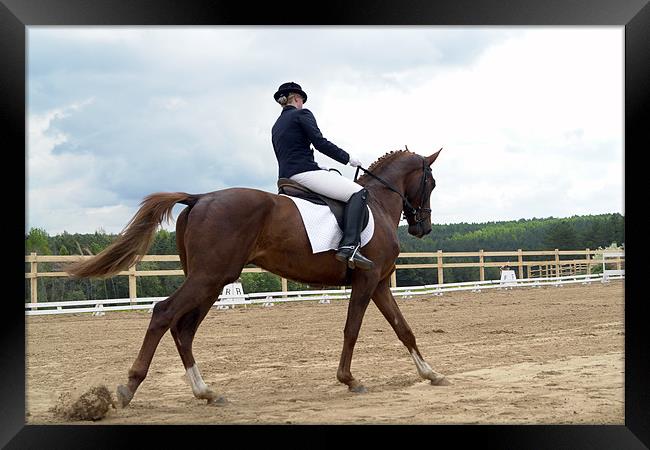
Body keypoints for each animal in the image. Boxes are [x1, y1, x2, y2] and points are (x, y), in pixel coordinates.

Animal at [64, 148, 446, 408]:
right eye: (431, 182)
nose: (423, 227)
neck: (378, 205)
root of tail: (199, 198)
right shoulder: (367, 281)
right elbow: (352, 329)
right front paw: (349, 379)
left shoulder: (379, 283)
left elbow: (403, 328)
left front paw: (430, 373)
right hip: (209, 277)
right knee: (163, 314)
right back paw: (129, 388)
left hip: (211, 281)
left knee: (183, 328)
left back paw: (206, 392)